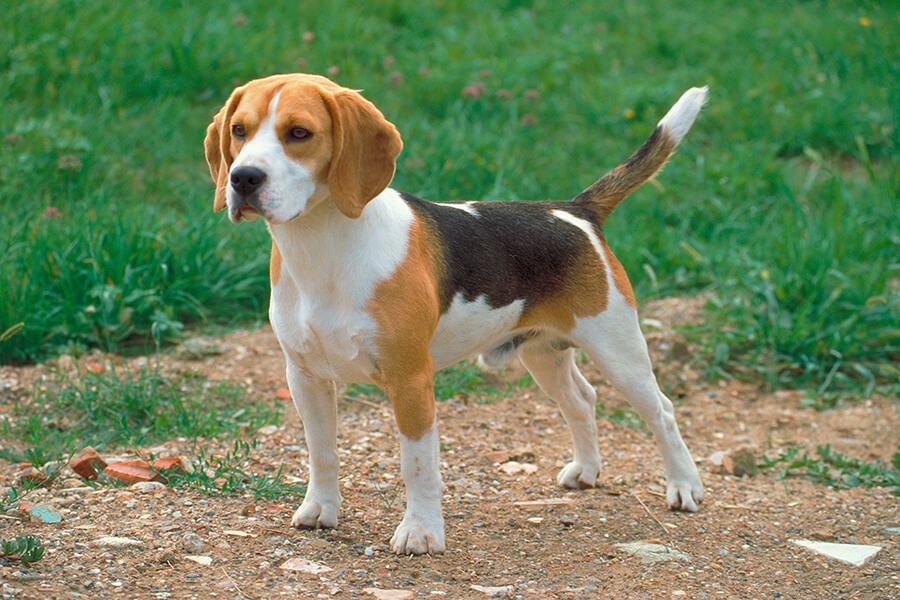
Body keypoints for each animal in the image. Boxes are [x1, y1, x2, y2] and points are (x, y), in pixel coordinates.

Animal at [206, 72, 712, 556]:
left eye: (299, 133)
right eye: (239, 131)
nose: (243, 178)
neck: (321, 245)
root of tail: (575, 210)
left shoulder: (411, 381)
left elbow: (417, 466)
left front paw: (421, 533)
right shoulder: (305, 377)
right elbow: (322, 452)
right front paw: (320, 510)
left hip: (619, 352)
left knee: (663, 413)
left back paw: (684, 486)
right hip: (543, 354)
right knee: (581, 400)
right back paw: (586, 471)